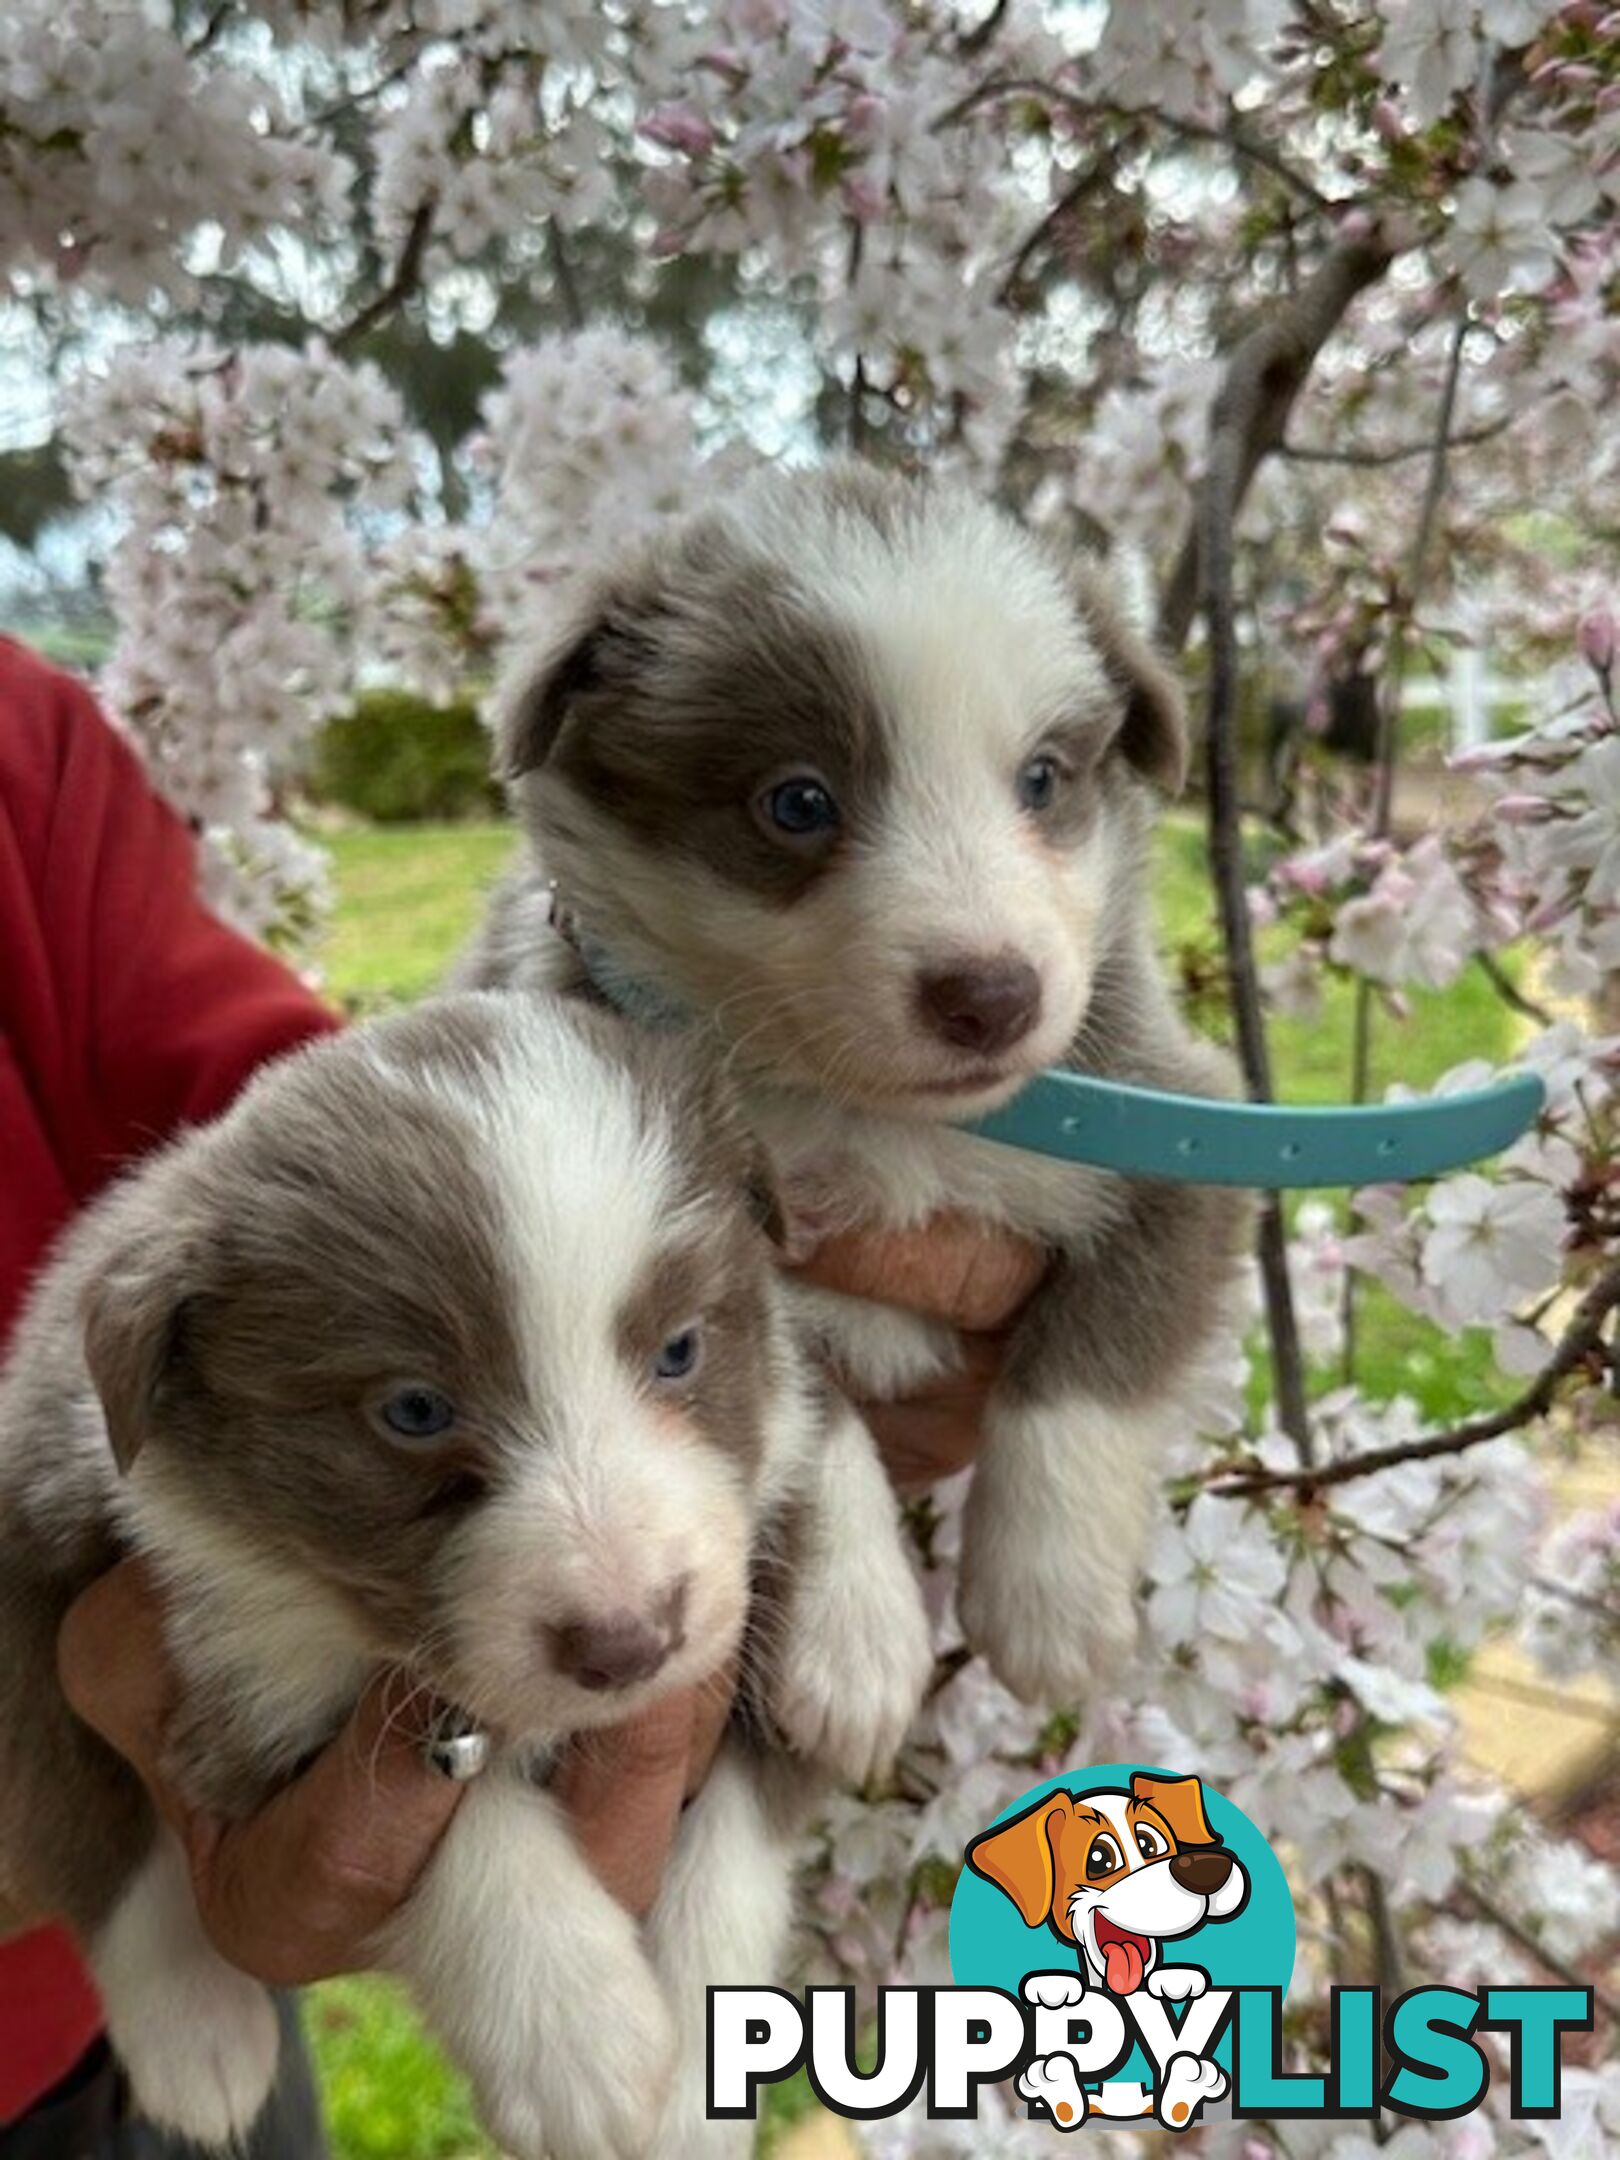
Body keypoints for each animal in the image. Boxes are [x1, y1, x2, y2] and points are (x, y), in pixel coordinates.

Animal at [0, 993, 933, 2160]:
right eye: (414, 1411)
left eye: (680, 1350)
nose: (629, 1642)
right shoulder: (242, 1684)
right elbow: (450, 1814)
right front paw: (574, 2034)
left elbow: (739, 1829)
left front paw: (858, 1629)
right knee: (87, 1817)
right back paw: (197, 2034)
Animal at [460, 460, 1252, 1702]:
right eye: (798, 802)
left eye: (1042, 781)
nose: (992, 995)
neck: (877, 1116)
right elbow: (804, 1410)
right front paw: (854, 1641)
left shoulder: (1182, 1124)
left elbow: (1089, 1365)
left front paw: (1050, 1595)